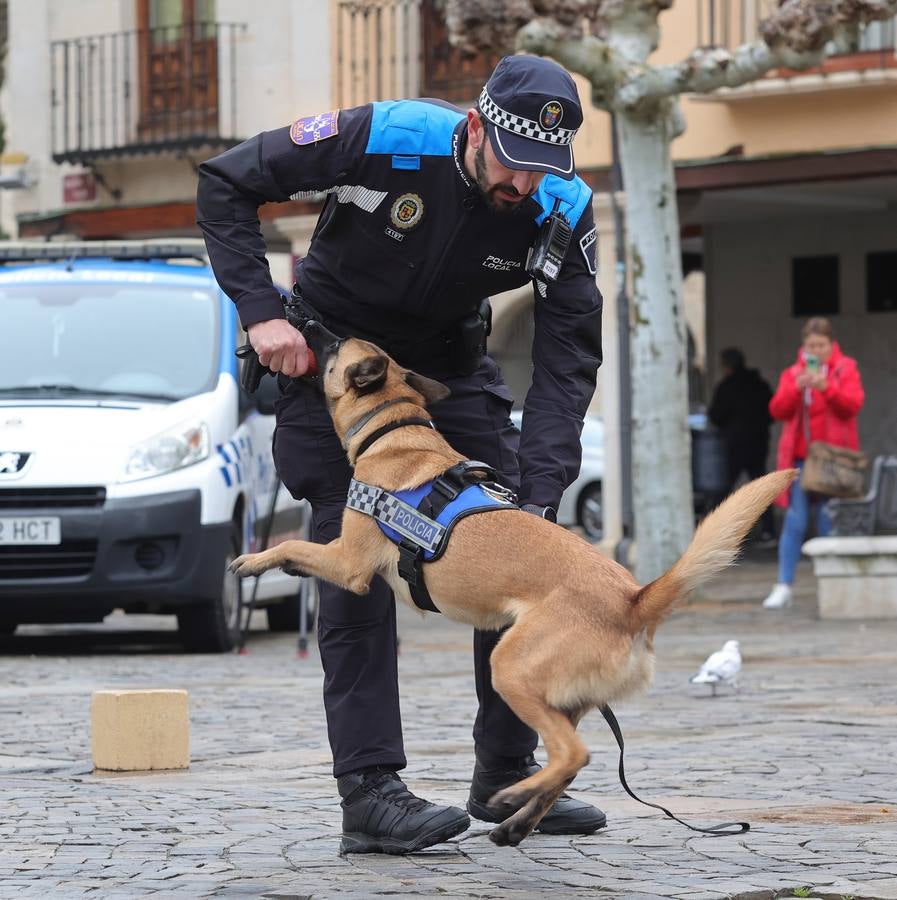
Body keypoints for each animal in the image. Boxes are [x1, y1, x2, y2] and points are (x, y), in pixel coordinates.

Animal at [233, 326, 800, 852]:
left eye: (333, 345)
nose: (305, 323)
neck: (393, 425)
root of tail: (632, 601)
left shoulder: (349, 564)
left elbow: (296, 547)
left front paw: (253, 561)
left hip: (509, 668)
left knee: (574, 754)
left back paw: (511, 799)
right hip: (561, 699)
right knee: (565, 761)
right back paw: (516, 821)